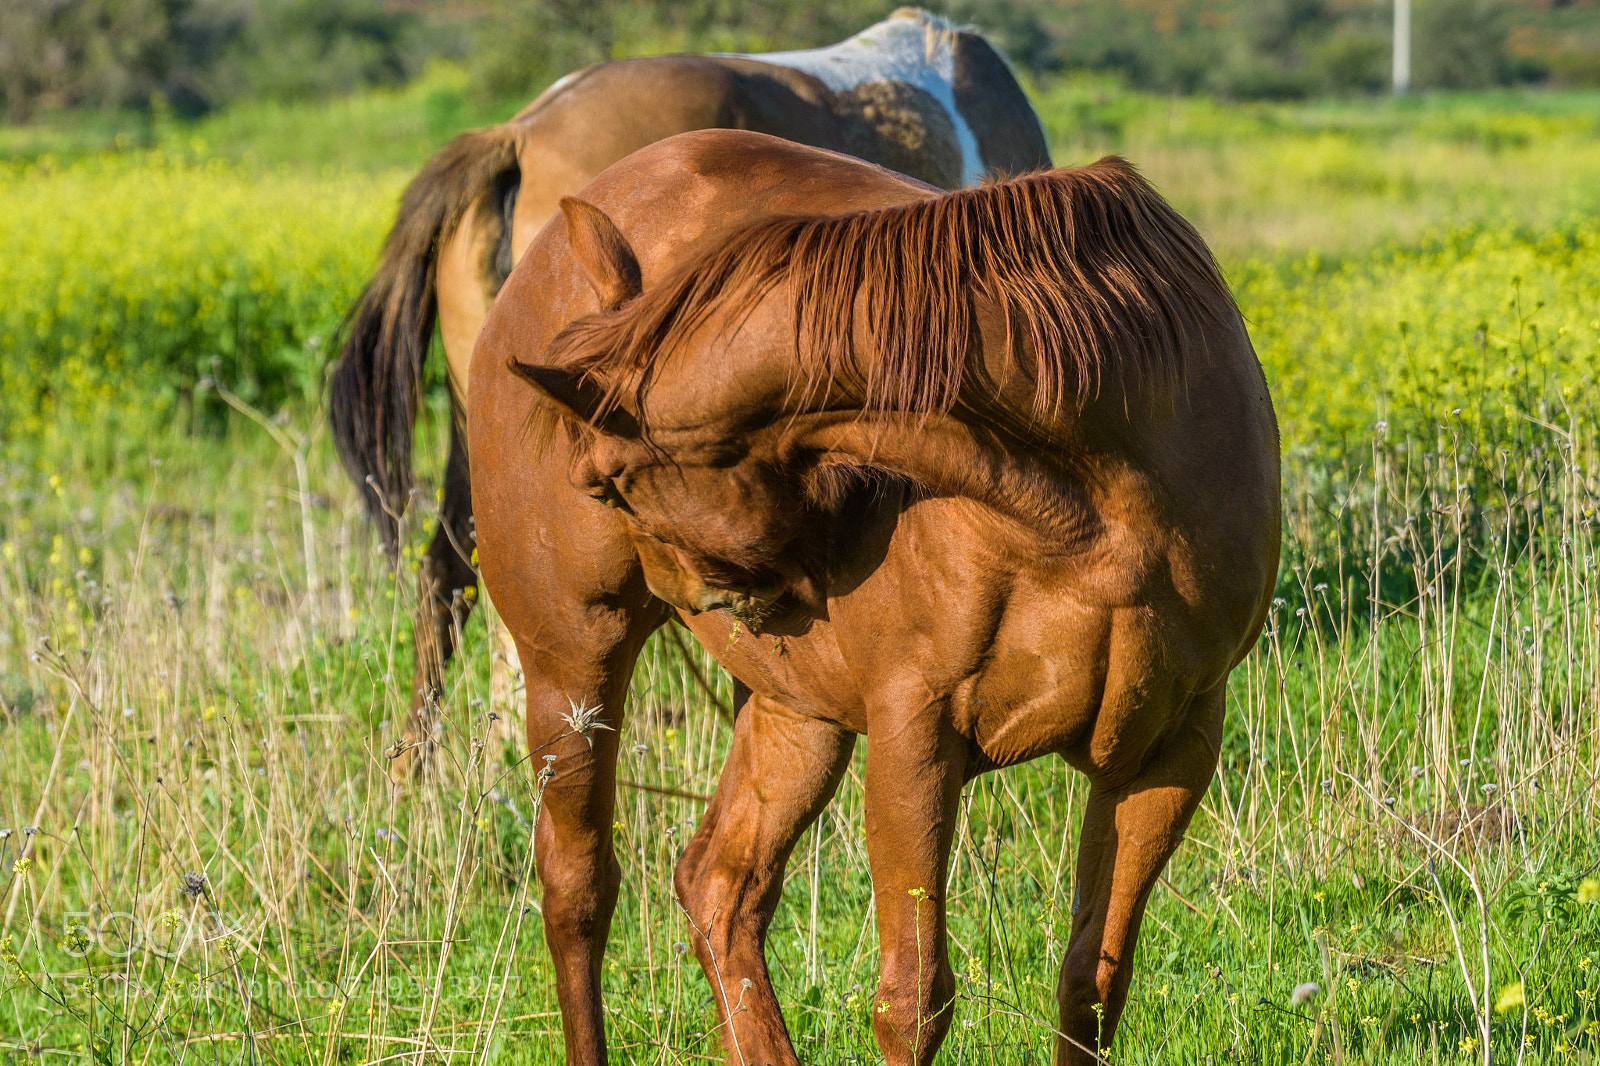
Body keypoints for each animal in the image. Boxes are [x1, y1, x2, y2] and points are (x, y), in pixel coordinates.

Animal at [470, 128, 1280, 1064]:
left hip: (796, 715)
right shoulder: (914, 736)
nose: (752, 603)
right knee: (578, 894)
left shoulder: (1171, 748)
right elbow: (913, 999)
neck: (1100, 495)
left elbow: (1093, 986)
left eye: (604, 485)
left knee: (720, 889)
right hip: (574, 672)